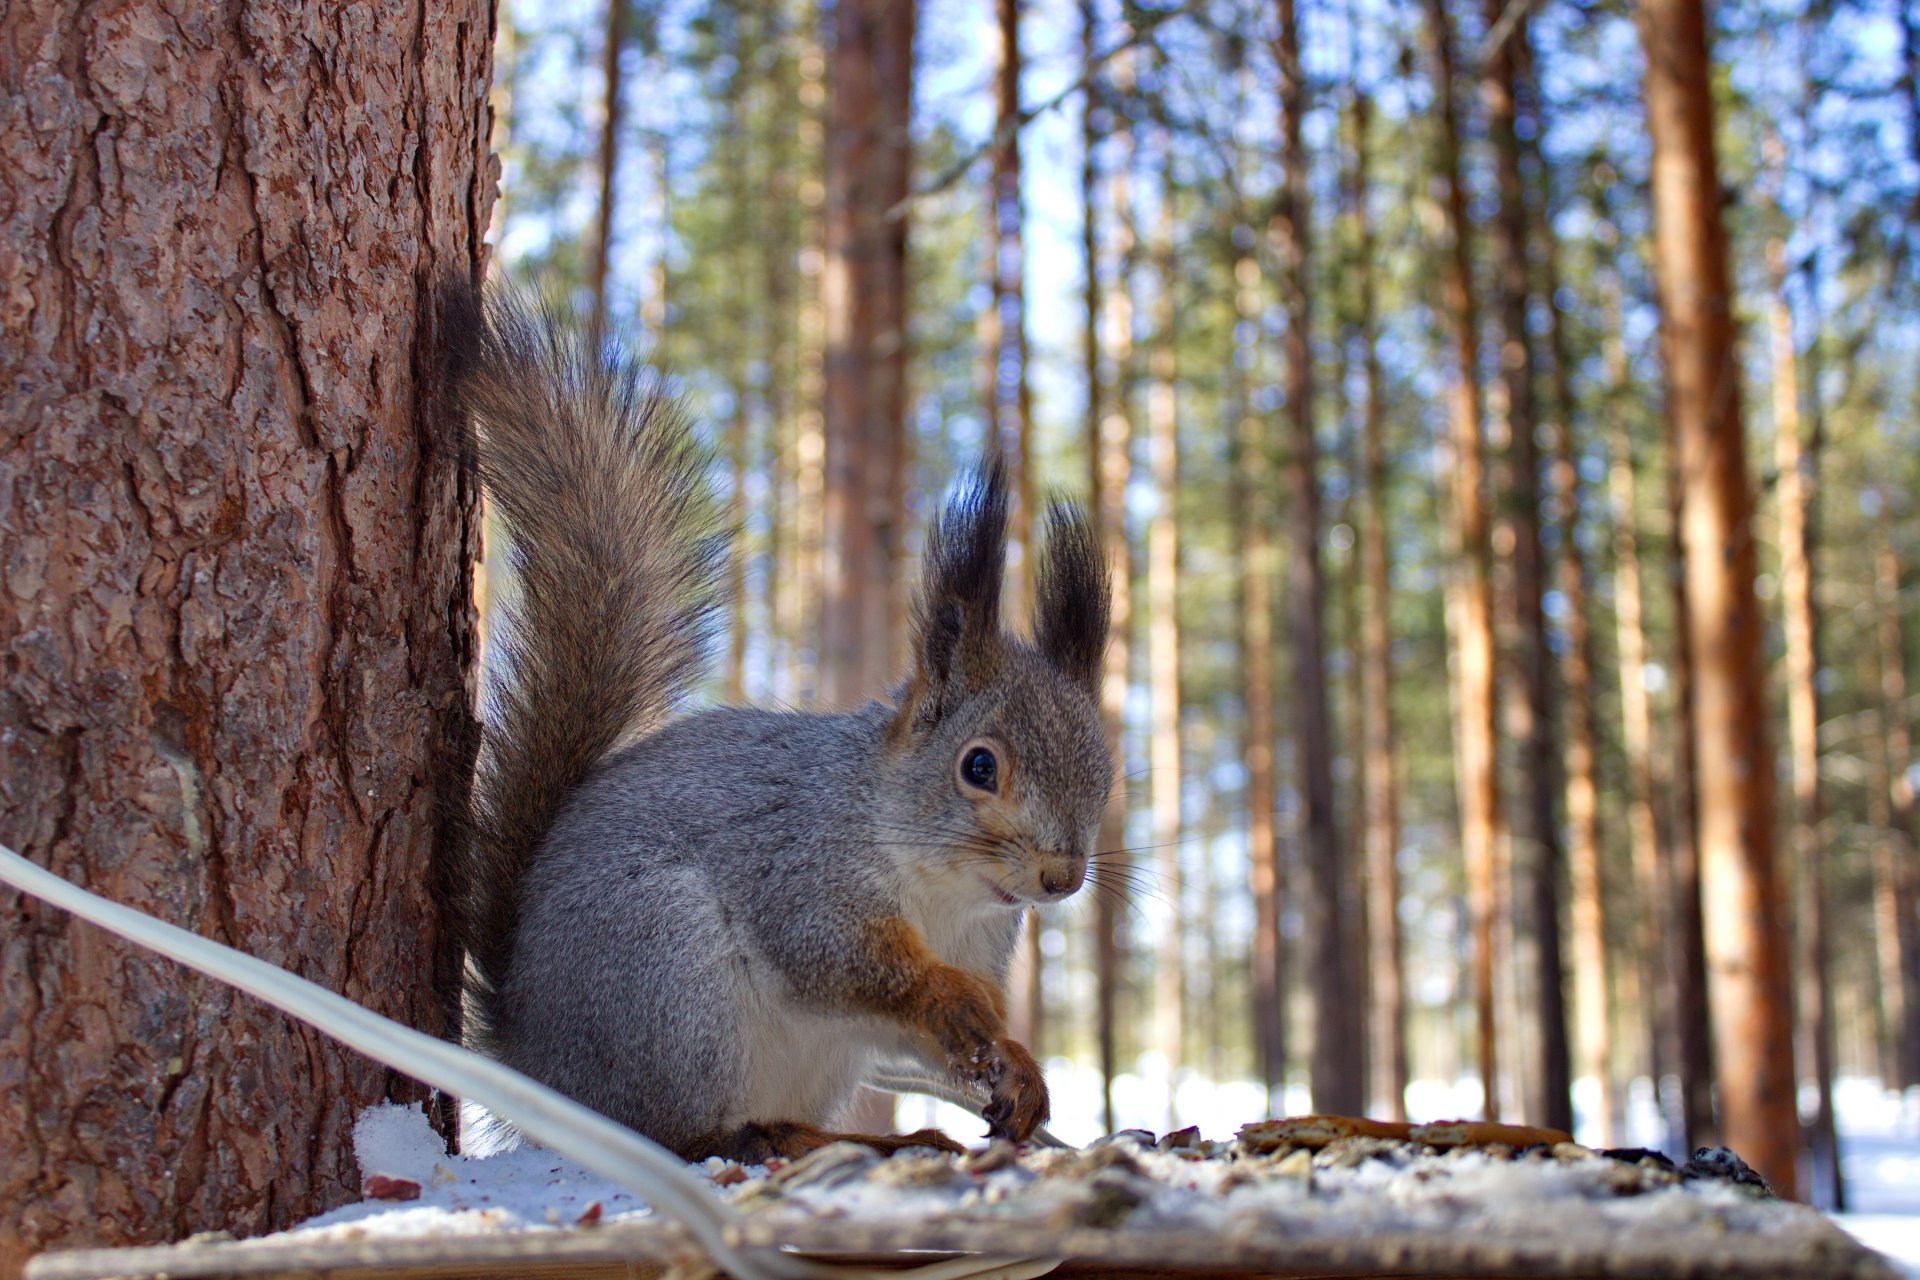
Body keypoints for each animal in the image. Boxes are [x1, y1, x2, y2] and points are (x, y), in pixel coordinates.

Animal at [446, 284, 1113, 1163]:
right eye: (978, 766)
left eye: (1106, 774)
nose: (1061, 878)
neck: (940, 890)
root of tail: (538, 1067)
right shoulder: (795, 869)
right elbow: (844, 962)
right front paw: (952, 1000)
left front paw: (1015, 1066)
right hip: (669, 973)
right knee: (670, 1132)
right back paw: (764, 1137)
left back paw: (864, 1139)